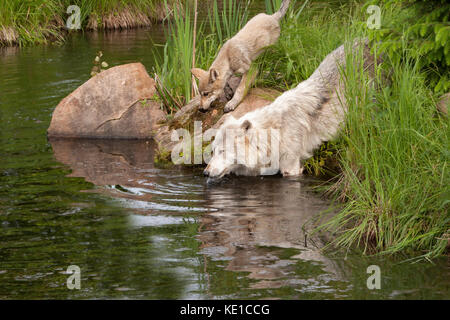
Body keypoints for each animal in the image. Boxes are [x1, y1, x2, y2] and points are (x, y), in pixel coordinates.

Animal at [204, 40, 372, 180]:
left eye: (223, 151)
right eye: (213, 151)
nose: (205, 172)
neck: (274, 135)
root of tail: (364, 40)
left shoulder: (291, 167)